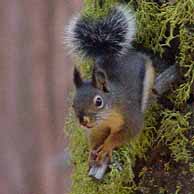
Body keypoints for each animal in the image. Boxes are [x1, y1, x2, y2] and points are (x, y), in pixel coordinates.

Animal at [65, 6, 155, 166]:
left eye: (98, 101)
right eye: (73, 104)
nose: (83, 122)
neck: (107, 116)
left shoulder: (131, 116)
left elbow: (124, 135)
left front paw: (107, 147)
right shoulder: (97, 127)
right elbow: (95, 138)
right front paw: (92, 152)